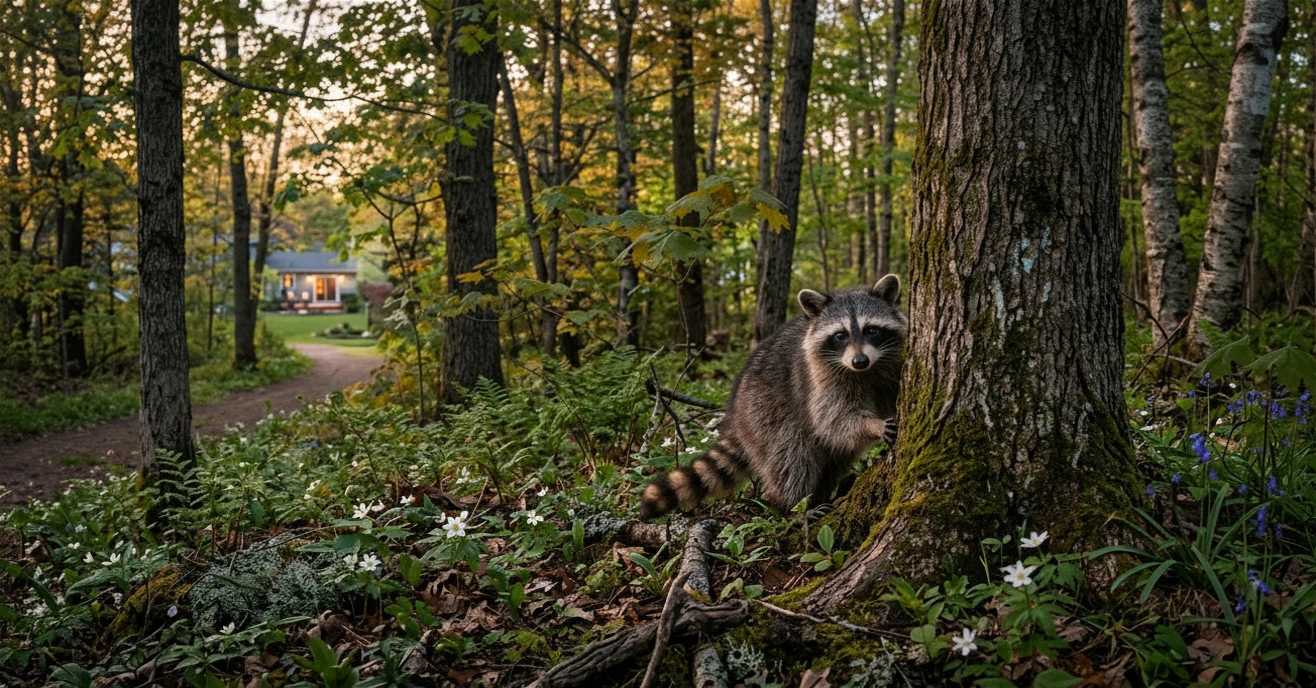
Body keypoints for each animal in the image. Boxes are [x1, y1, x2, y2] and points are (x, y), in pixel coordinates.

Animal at [639, 274, 907, 520]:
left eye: (871, 330)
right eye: (840, 335)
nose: (859, 361)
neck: (866, 371)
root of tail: (735, 410)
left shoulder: (889, 367)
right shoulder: (821, 381)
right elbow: (834, 420)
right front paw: (872, 425)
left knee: (833, 461)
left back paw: (823, 493)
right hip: (765, 413)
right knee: (790, 459)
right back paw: (794, 508)